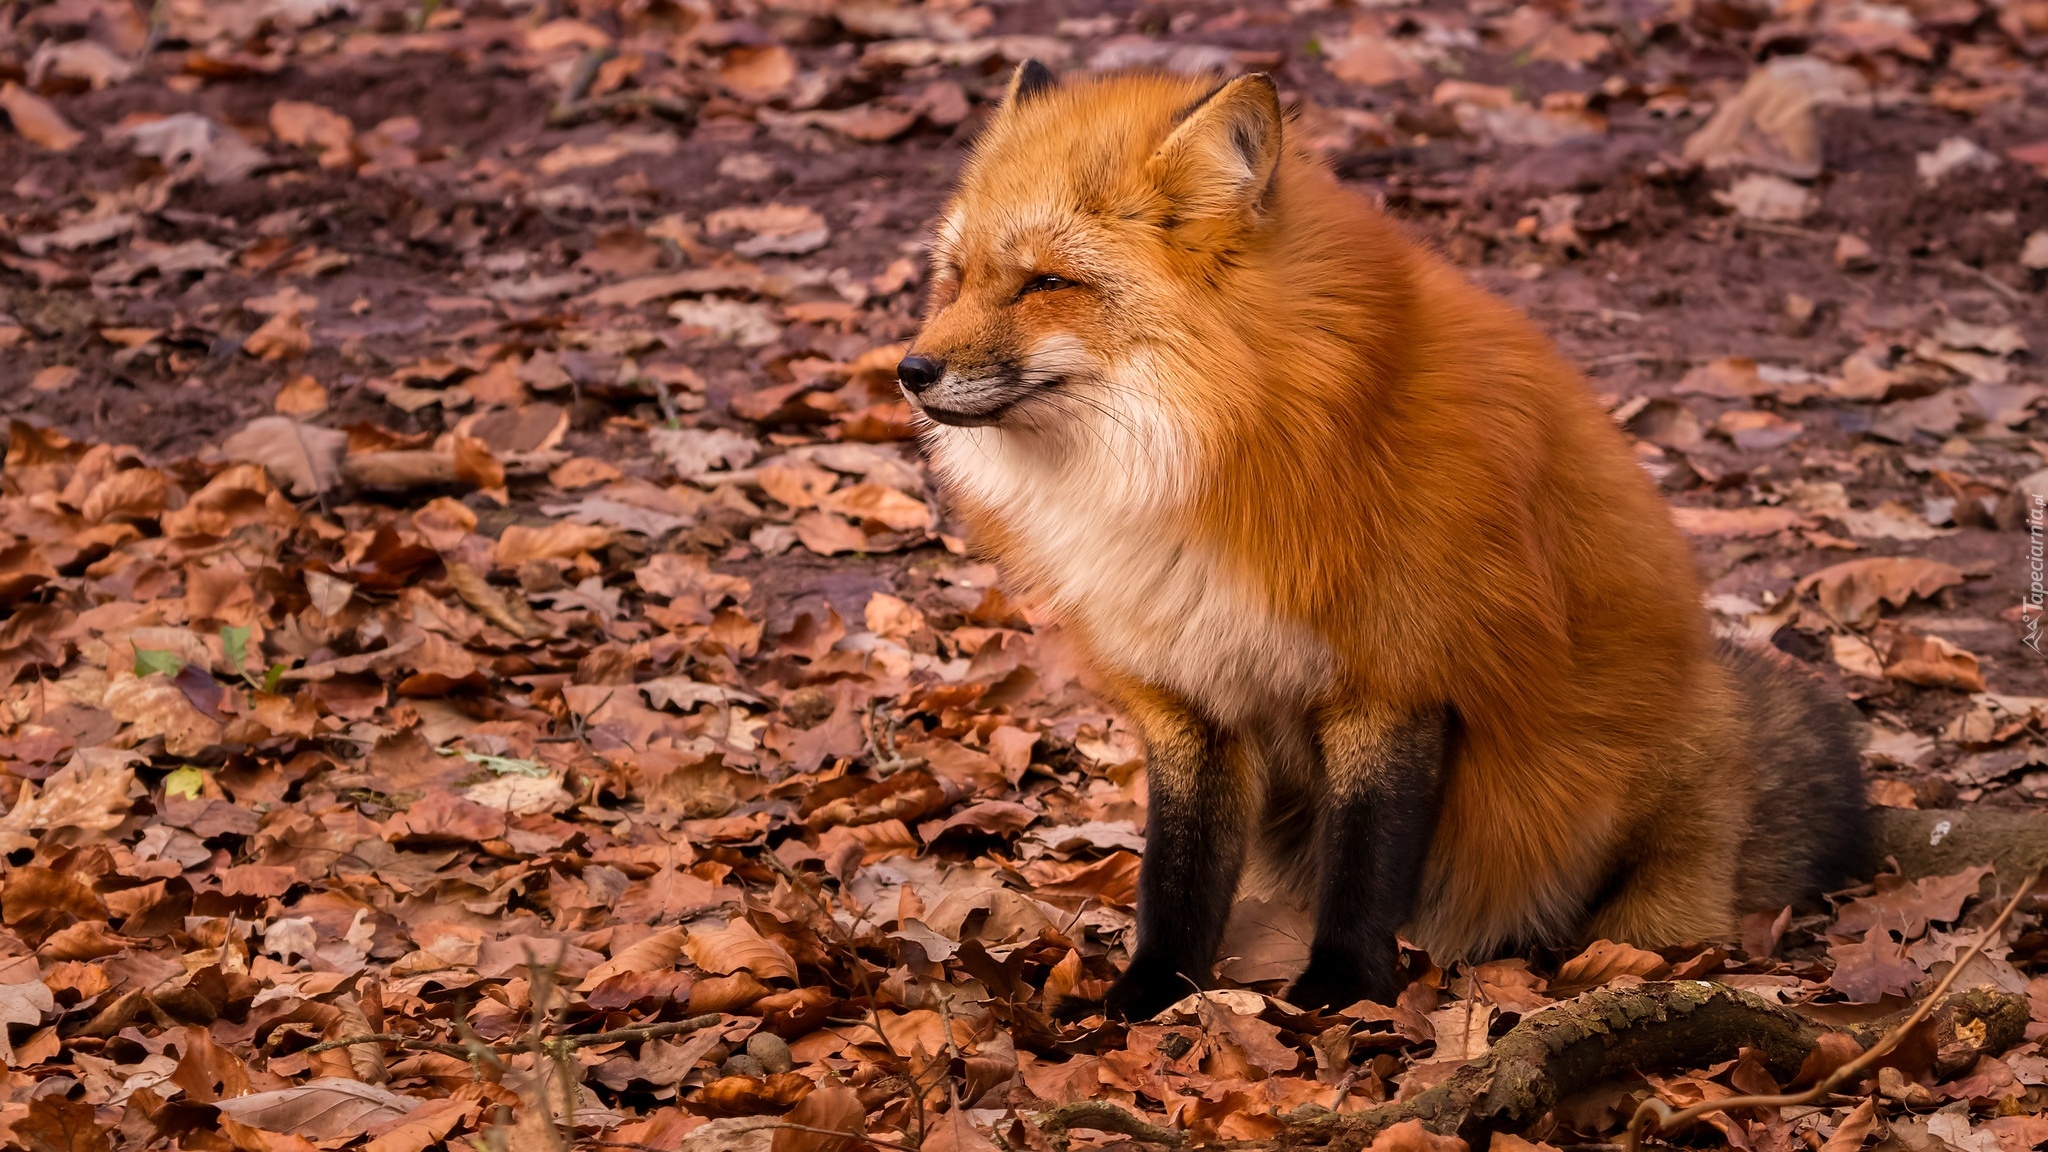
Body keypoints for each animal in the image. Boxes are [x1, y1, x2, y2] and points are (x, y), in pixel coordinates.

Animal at [897, 62, 1875, 1012]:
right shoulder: (1191, 691)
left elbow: (1366, 859)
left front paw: (1340, 993)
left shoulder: (1396, 675)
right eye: (958, 278)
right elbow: (1178, 873)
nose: (909, 370)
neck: (1220, 454)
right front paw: (1147, 999)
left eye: (1046, 283)